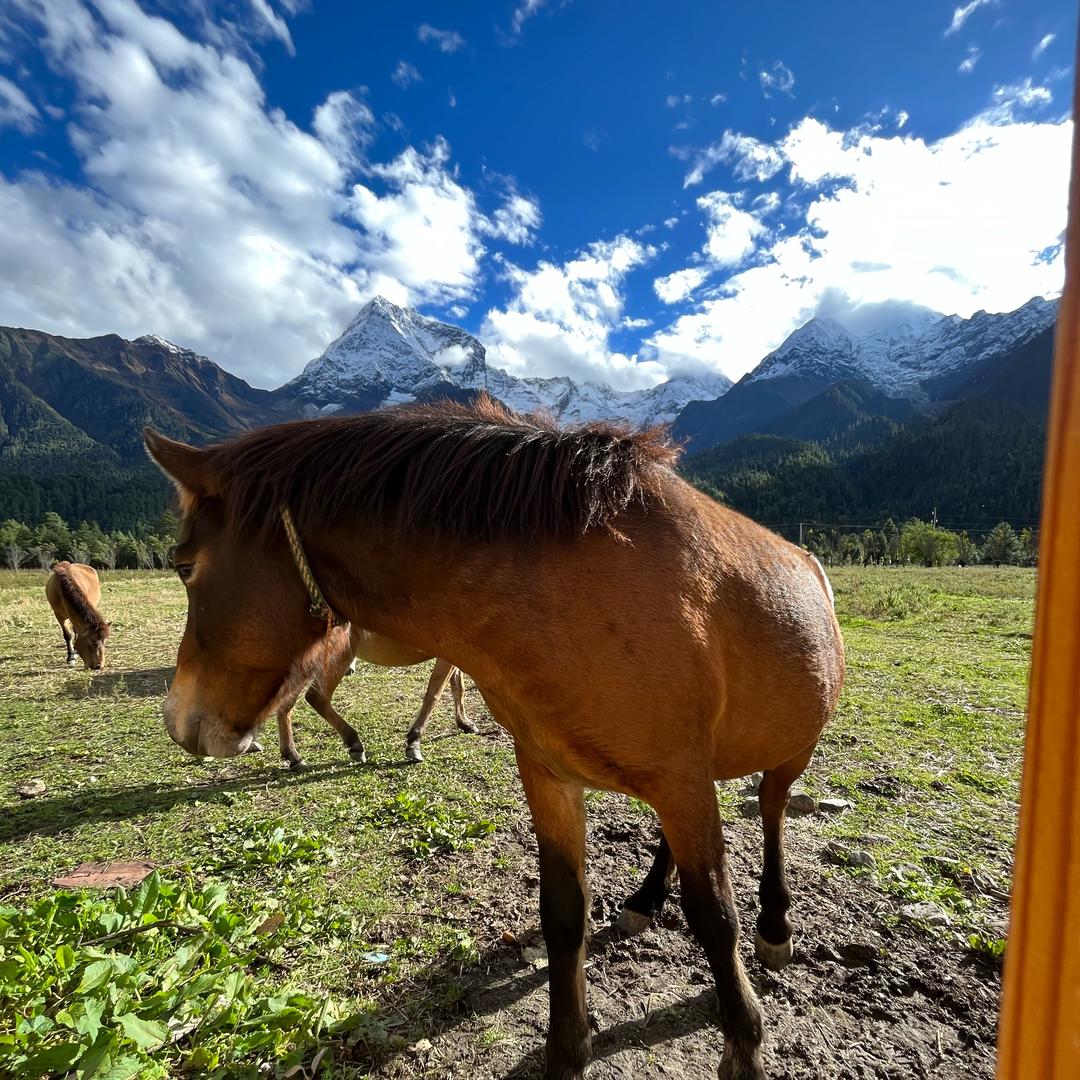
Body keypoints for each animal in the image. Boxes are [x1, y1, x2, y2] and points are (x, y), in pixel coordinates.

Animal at [268, 621, 475, 770]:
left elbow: (457, 685)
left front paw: (464, 722)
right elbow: (434, 692)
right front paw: (414, 742)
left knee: (286, 704)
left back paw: (293, 757)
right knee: (316, 697)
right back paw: (354, 743)